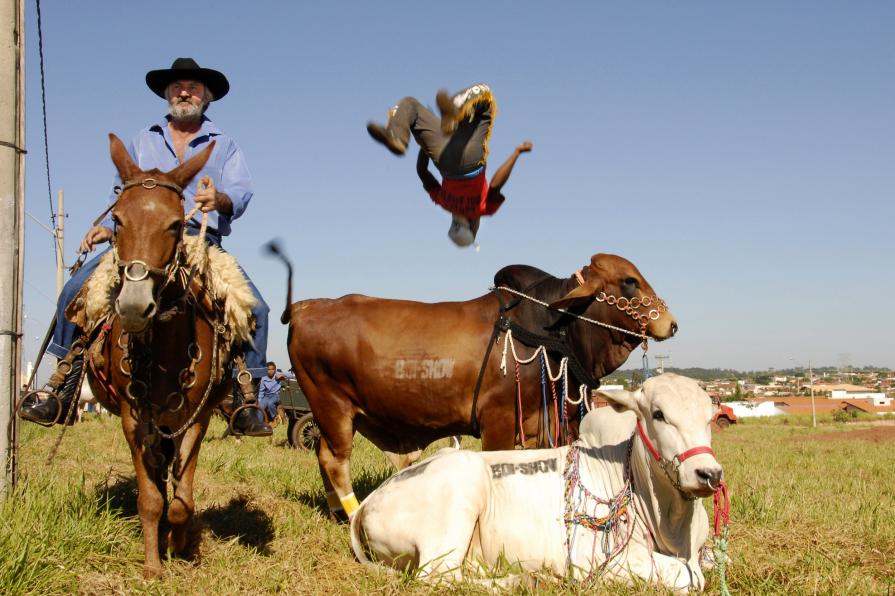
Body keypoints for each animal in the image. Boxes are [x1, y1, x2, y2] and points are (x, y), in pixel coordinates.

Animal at [270, 246, 676, 516]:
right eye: (629, 281)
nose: (671, 324)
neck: (549, 327)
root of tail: (305, 306)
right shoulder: (499, 420)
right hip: (332, 408)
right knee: (333, 459)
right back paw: (353, 513)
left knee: (324, 457)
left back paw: (338, 513)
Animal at [350, 374, 728, 588]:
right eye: (659, 414)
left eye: (710, 417)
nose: (708, 473)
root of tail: (369, 501)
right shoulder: (594, 559)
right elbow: (688, 576)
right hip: (454, 504)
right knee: (436, 577)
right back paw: (521, 581)